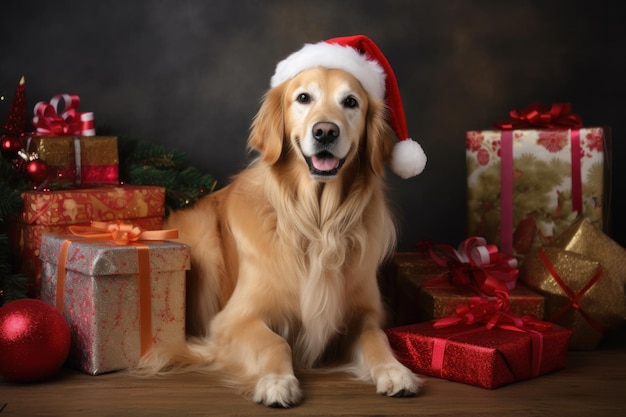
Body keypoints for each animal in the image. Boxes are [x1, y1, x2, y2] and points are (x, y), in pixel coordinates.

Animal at [137, 35, 426, 406]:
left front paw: (394, 370)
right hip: (201, 236)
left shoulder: (365, 313)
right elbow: (276, 341)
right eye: (303, 98)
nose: (325, 132)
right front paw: (276, 380)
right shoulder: (233, 320)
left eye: (351, 102)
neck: (317, 224)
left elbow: (378, 338)